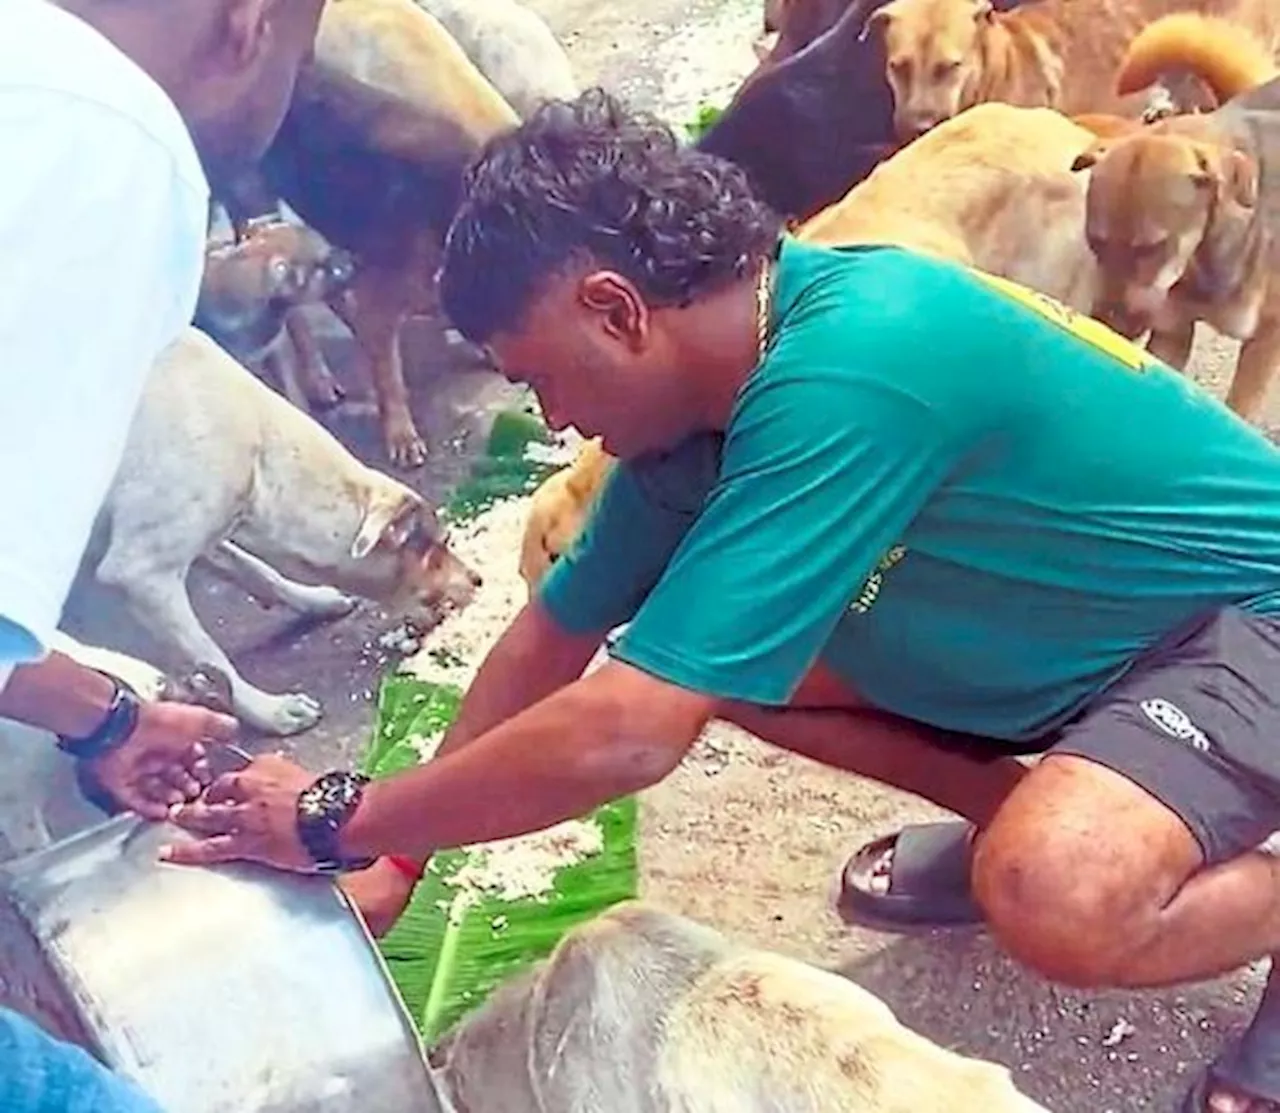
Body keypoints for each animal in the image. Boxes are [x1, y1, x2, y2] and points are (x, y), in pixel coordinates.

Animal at [83, 324, 483, 742]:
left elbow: (255, 569)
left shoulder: (204, 530)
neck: (261, 455)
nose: (478, 579)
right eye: (434, 545)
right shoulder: (141, 572)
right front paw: (271, 711)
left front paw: (315, 601)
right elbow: (212, 656)